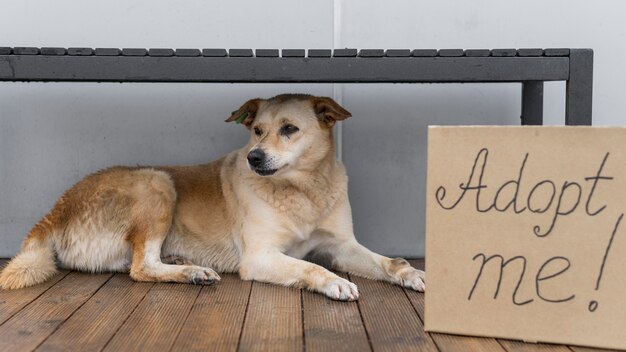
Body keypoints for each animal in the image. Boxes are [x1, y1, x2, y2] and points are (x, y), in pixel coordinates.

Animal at [0, 93, 424, 300]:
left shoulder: (342, 245)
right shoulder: (260, 257)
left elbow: (389, 262)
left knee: (136, 263)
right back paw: (193, 272)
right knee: (141, 268)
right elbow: (309, 267)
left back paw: (184, 263)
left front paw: (412, 273)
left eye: (289, 129)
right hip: (156, 182)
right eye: (256, 130)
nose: (254, 157)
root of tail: (56, 210)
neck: (304, 189)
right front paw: (332, 282)